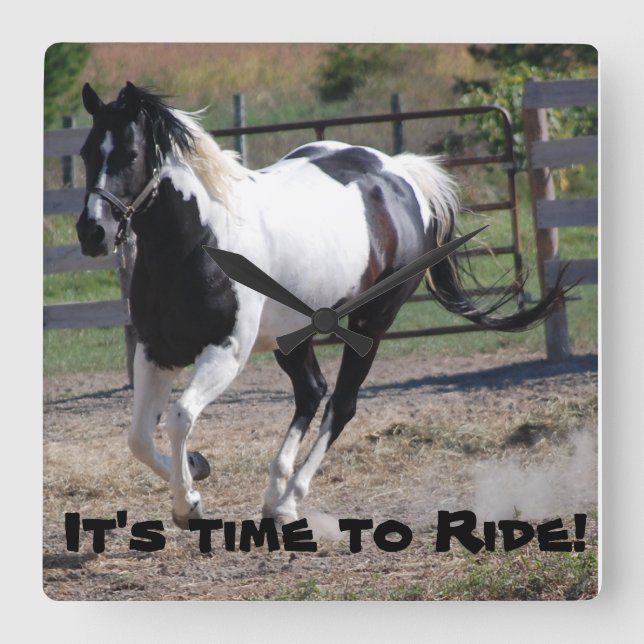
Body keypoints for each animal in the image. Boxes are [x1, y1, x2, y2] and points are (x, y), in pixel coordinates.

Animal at [75, 82, 562, 529]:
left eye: (131, 153)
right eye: (84, 153)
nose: (92, 232)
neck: (197, 243)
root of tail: (399, 174)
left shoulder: (226, 352)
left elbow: (178, 418)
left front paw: (188, 506)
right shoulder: (156, 351)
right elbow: (138, 437)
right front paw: (197, 469)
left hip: (371, 323)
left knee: (340, 404)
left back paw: (290, 500)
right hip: (293, 335)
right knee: (312, 391)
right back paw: (274, 494)